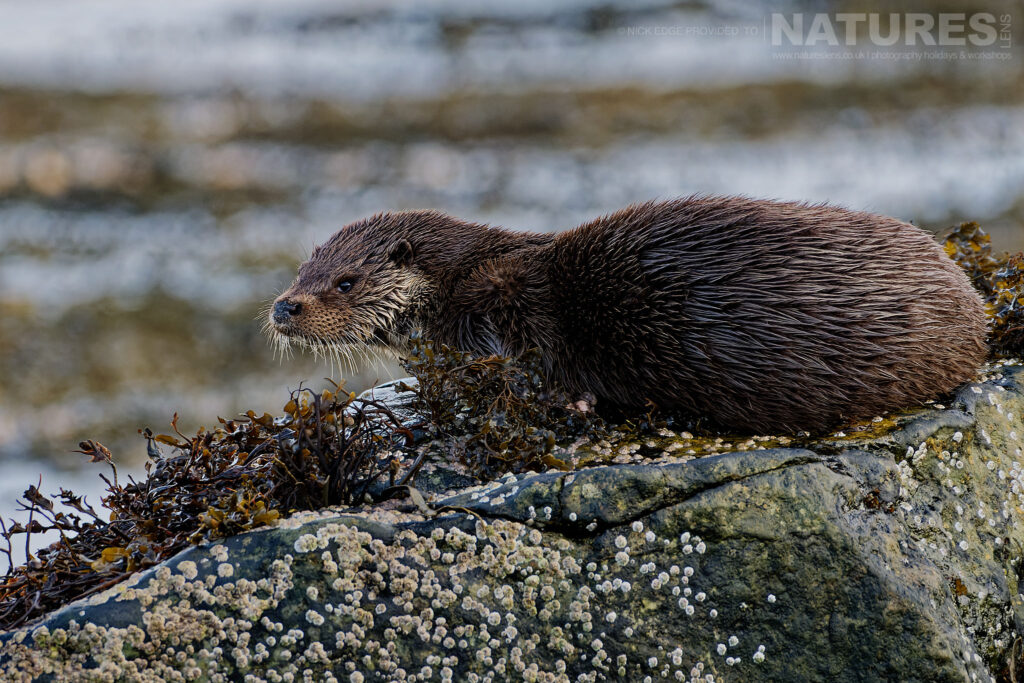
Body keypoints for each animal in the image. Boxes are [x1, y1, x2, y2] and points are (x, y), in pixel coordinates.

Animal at [268, 196, 987, 432]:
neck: (458, 284)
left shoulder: (503, 313)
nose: (284, 304)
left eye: (345, 281)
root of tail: (972, 303)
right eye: (303, 268)